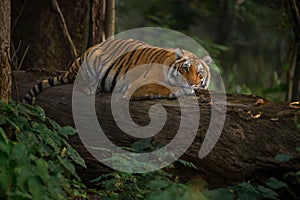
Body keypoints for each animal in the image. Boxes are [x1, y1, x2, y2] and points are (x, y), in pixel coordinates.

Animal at [22, 38, 212, 103]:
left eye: (200, 73)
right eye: (185, 69)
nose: (192, 83)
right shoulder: (138, 84)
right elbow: (162, 86)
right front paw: (181, 91)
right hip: (92, 61)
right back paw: (91, 89)